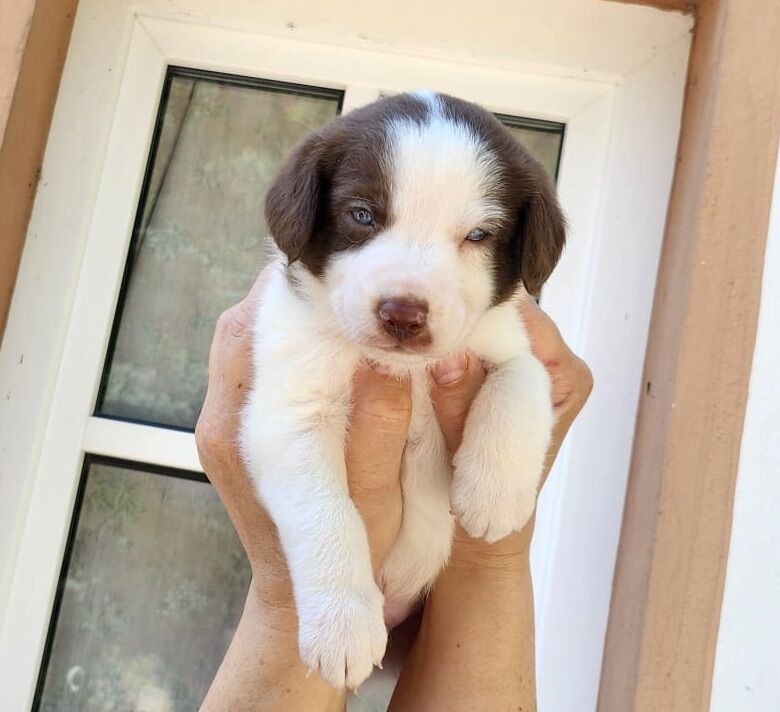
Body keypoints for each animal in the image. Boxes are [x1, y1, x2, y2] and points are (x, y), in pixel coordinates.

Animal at [241, 89, 564, 688]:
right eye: (362, 215)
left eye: (479, 236)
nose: (403, 314)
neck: (405, 371)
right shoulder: (289, 414)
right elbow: (326, 514)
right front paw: (342, 626)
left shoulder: (510, 345)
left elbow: (518, 386)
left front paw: (493, 493)